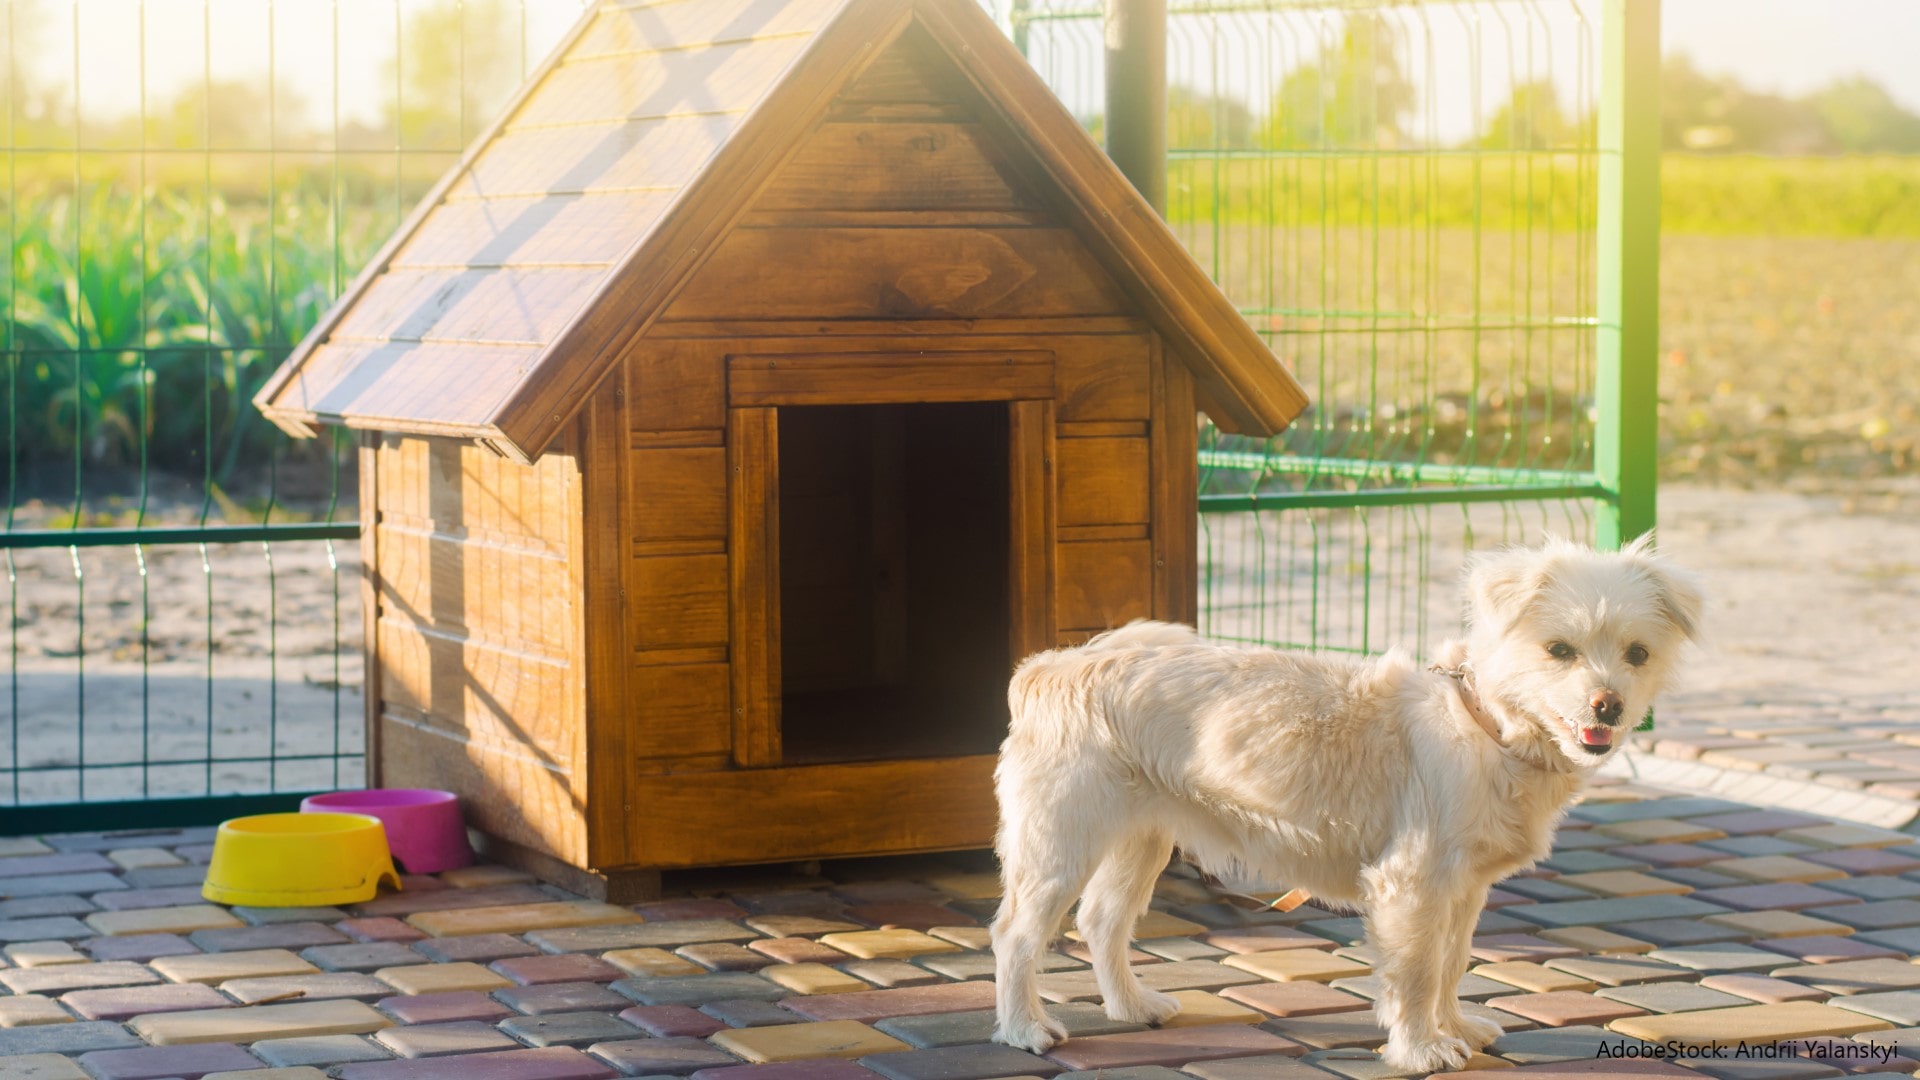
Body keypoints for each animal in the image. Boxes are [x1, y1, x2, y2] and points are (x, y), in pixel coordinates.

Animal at [990, 538, 1697, 1068]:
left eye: (1637, 654)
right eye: (1559, 651)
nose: (1609, 705)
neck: (1486, 726)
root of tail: (1049, 668)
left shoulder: (1462, 891)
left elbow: (1451, 964)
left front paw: (1455, 1029)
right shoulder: (1412, 885)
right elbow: (1417, 972)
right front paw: (1422, 1049)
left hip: (1142, 842)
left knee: (1102, 921)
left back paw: (1133, 1007)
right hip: (1060, 848)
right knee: (1017, 935)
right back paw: (1025, 1028)